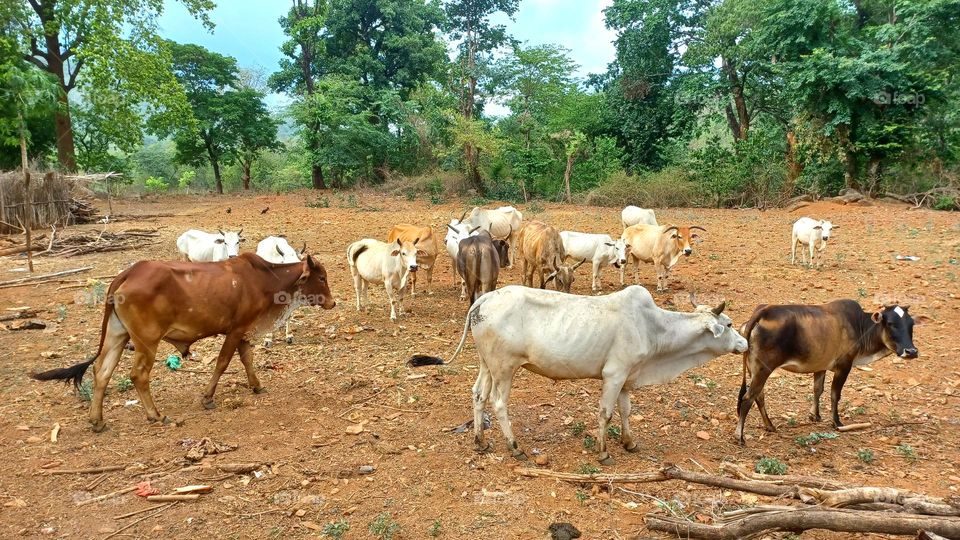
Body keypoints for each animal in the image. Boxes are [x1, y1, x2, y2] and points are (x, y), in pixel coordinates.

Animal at [30, 253, 336, 432]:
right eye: (321, 277)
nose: (332, 303)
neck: (265, 280)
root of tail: (128, 273)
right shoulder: (236, 329)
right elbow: (223, 362)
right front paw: (207, 398)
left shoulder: (243, 331)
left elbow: (247, 359)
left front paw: (257, 386)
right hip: (146, 341)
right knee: (138, 375)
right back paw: (156, 415)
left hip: (118, 335)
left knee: (101, 372)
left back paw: (97, 420)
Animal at [407, 286, 747, 464]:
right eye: (729, 325)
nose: (744, 342)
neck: (653, 327)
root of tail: (485, 298)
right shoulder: (614, 374)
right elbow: (606, 413)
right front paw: (603, 451)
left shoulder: (626, 378)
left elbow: (626, 410)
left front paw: (629, 443)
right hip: (504, 367)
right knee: (499, 403)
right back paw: (514, 447)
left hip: (486, 363)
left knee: (478, 395)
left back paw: (479, 441)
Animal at [735, 300, 928, 445]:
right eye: (890, 324)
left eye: (911, 324)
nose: (911, 351)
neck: (860, 326)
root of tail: (763, 311)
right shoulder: (844, 365)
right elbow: (835, 394)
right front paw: (836, 422)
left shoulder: (820, 366)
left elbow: (817, 390)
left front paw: (815, 415)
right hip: (763, 369)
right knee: (748, 398)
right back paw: (740, 436)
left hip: (754, 368)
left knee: (758, 397)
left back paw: (770, 426)